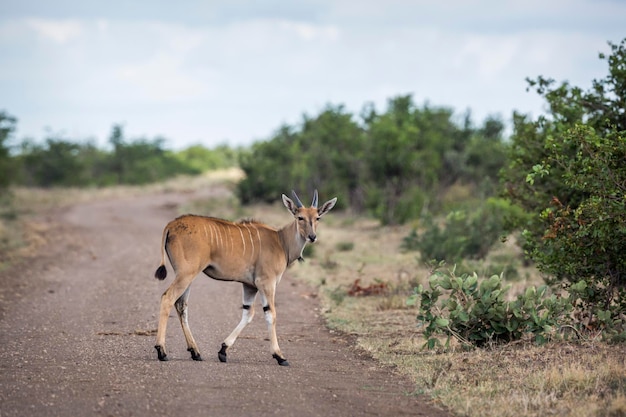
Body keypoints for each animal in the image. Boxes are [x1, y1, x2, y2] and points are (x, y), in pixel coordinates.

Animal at [153, 190, 334, 366]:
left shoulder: (250, 286)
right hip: (186, 274)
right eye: (300, 217)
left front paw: (223, 350)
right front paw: (279, 356)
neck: (281, 242)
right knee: (167, 298)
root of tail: (171, 225)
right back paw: (161, 351)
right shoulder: (266, 282)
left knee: (181, 305)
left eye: (317, 217)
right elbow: (271, 314)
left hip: (187, 276)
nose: (312, 237)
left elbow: (248, 313)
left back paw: (195, 352)